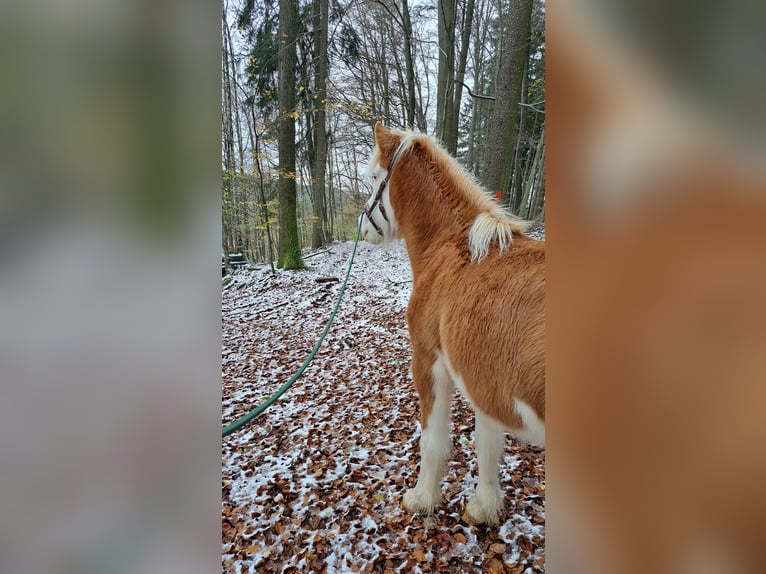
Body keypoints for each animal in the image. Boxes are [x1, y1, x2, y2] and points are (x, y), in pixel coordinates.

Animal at [360, 123, 545, 526]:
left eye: (374, 178)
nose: (362, 227)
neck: (449, 246)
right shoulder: (483, 378)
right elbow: (487, 443)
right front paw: (485, 507)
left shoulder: (430, 361)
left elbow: (433, 441)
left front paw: (422, 498)